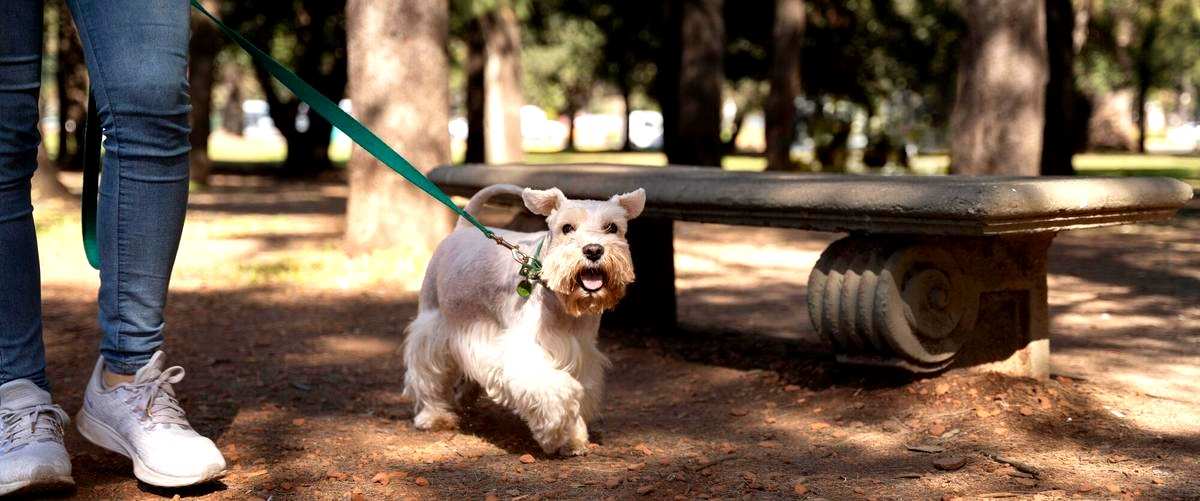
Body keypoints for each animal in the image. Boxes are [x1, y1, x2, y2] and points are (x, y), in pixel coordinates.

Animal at [403, 182, 648, 455]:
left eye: (612, 227)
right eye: (567, 228)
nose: (593, 250)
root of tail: (462, 229)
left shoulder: (582, 353)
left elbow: (579, 391)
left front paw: (573, 439)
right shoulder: (524, 352)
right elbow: (558, 391)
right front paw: (555, 433)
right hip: (433, 322)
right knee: (426, 371)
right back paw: (433, 415)